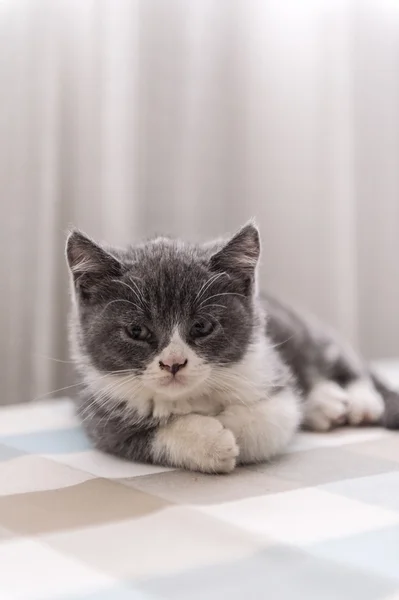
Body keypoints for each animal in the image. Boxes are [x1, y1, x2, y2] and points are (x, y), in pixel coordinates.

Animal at [66, 223, 399, 472]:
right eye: (136, 331)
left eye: (202, 326)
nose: (173, 363)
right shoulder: (97, 413)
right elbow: (145, 436)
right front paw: (210, 442)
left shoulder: (269, 367)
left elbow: (274, 417)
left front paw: (231, 425)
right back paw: (325, 406)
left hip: (300, 329)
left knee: (338, 358)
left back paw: (360, 401)